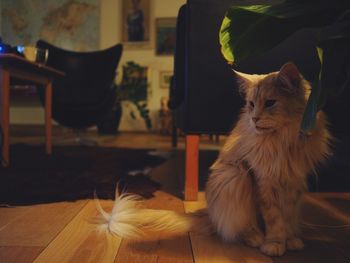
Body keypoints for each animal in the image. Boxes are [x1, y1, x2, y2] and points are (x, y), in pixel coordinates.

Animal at [95, 62, 330, 258]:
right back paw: (255, 238)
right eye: (251, 104)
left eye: (271, 103)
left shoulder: (294, 184)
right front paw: (274, 244)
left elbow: (287, 218)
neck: (282, 142)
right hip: (234, 177)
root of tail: (208, 213)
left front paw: (290, 241)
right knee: (239, 227)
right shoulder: (263, 182)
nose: (254, 118)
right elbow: (274, 220)